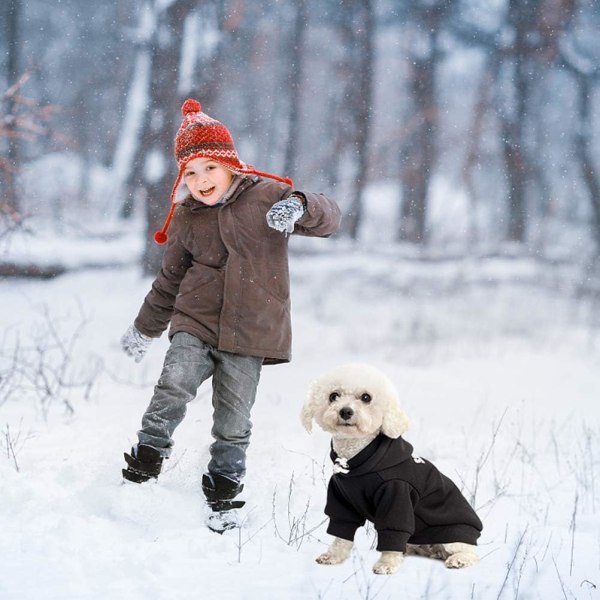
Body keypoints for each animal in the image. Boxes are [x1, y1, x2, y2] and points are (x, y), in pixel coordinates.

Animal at [300, 364, 482, 576]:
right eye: (333, 396)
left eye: (366, 397)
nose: (346, 411)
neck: (355, 458)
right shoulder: (341, 499)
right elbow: (341, 532)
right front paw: (333, 556)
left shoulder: (397, 495)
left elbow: (393, 531)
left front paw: (386, 564)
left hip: (452, 537)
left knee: (470, 553)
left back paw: (458, 559)